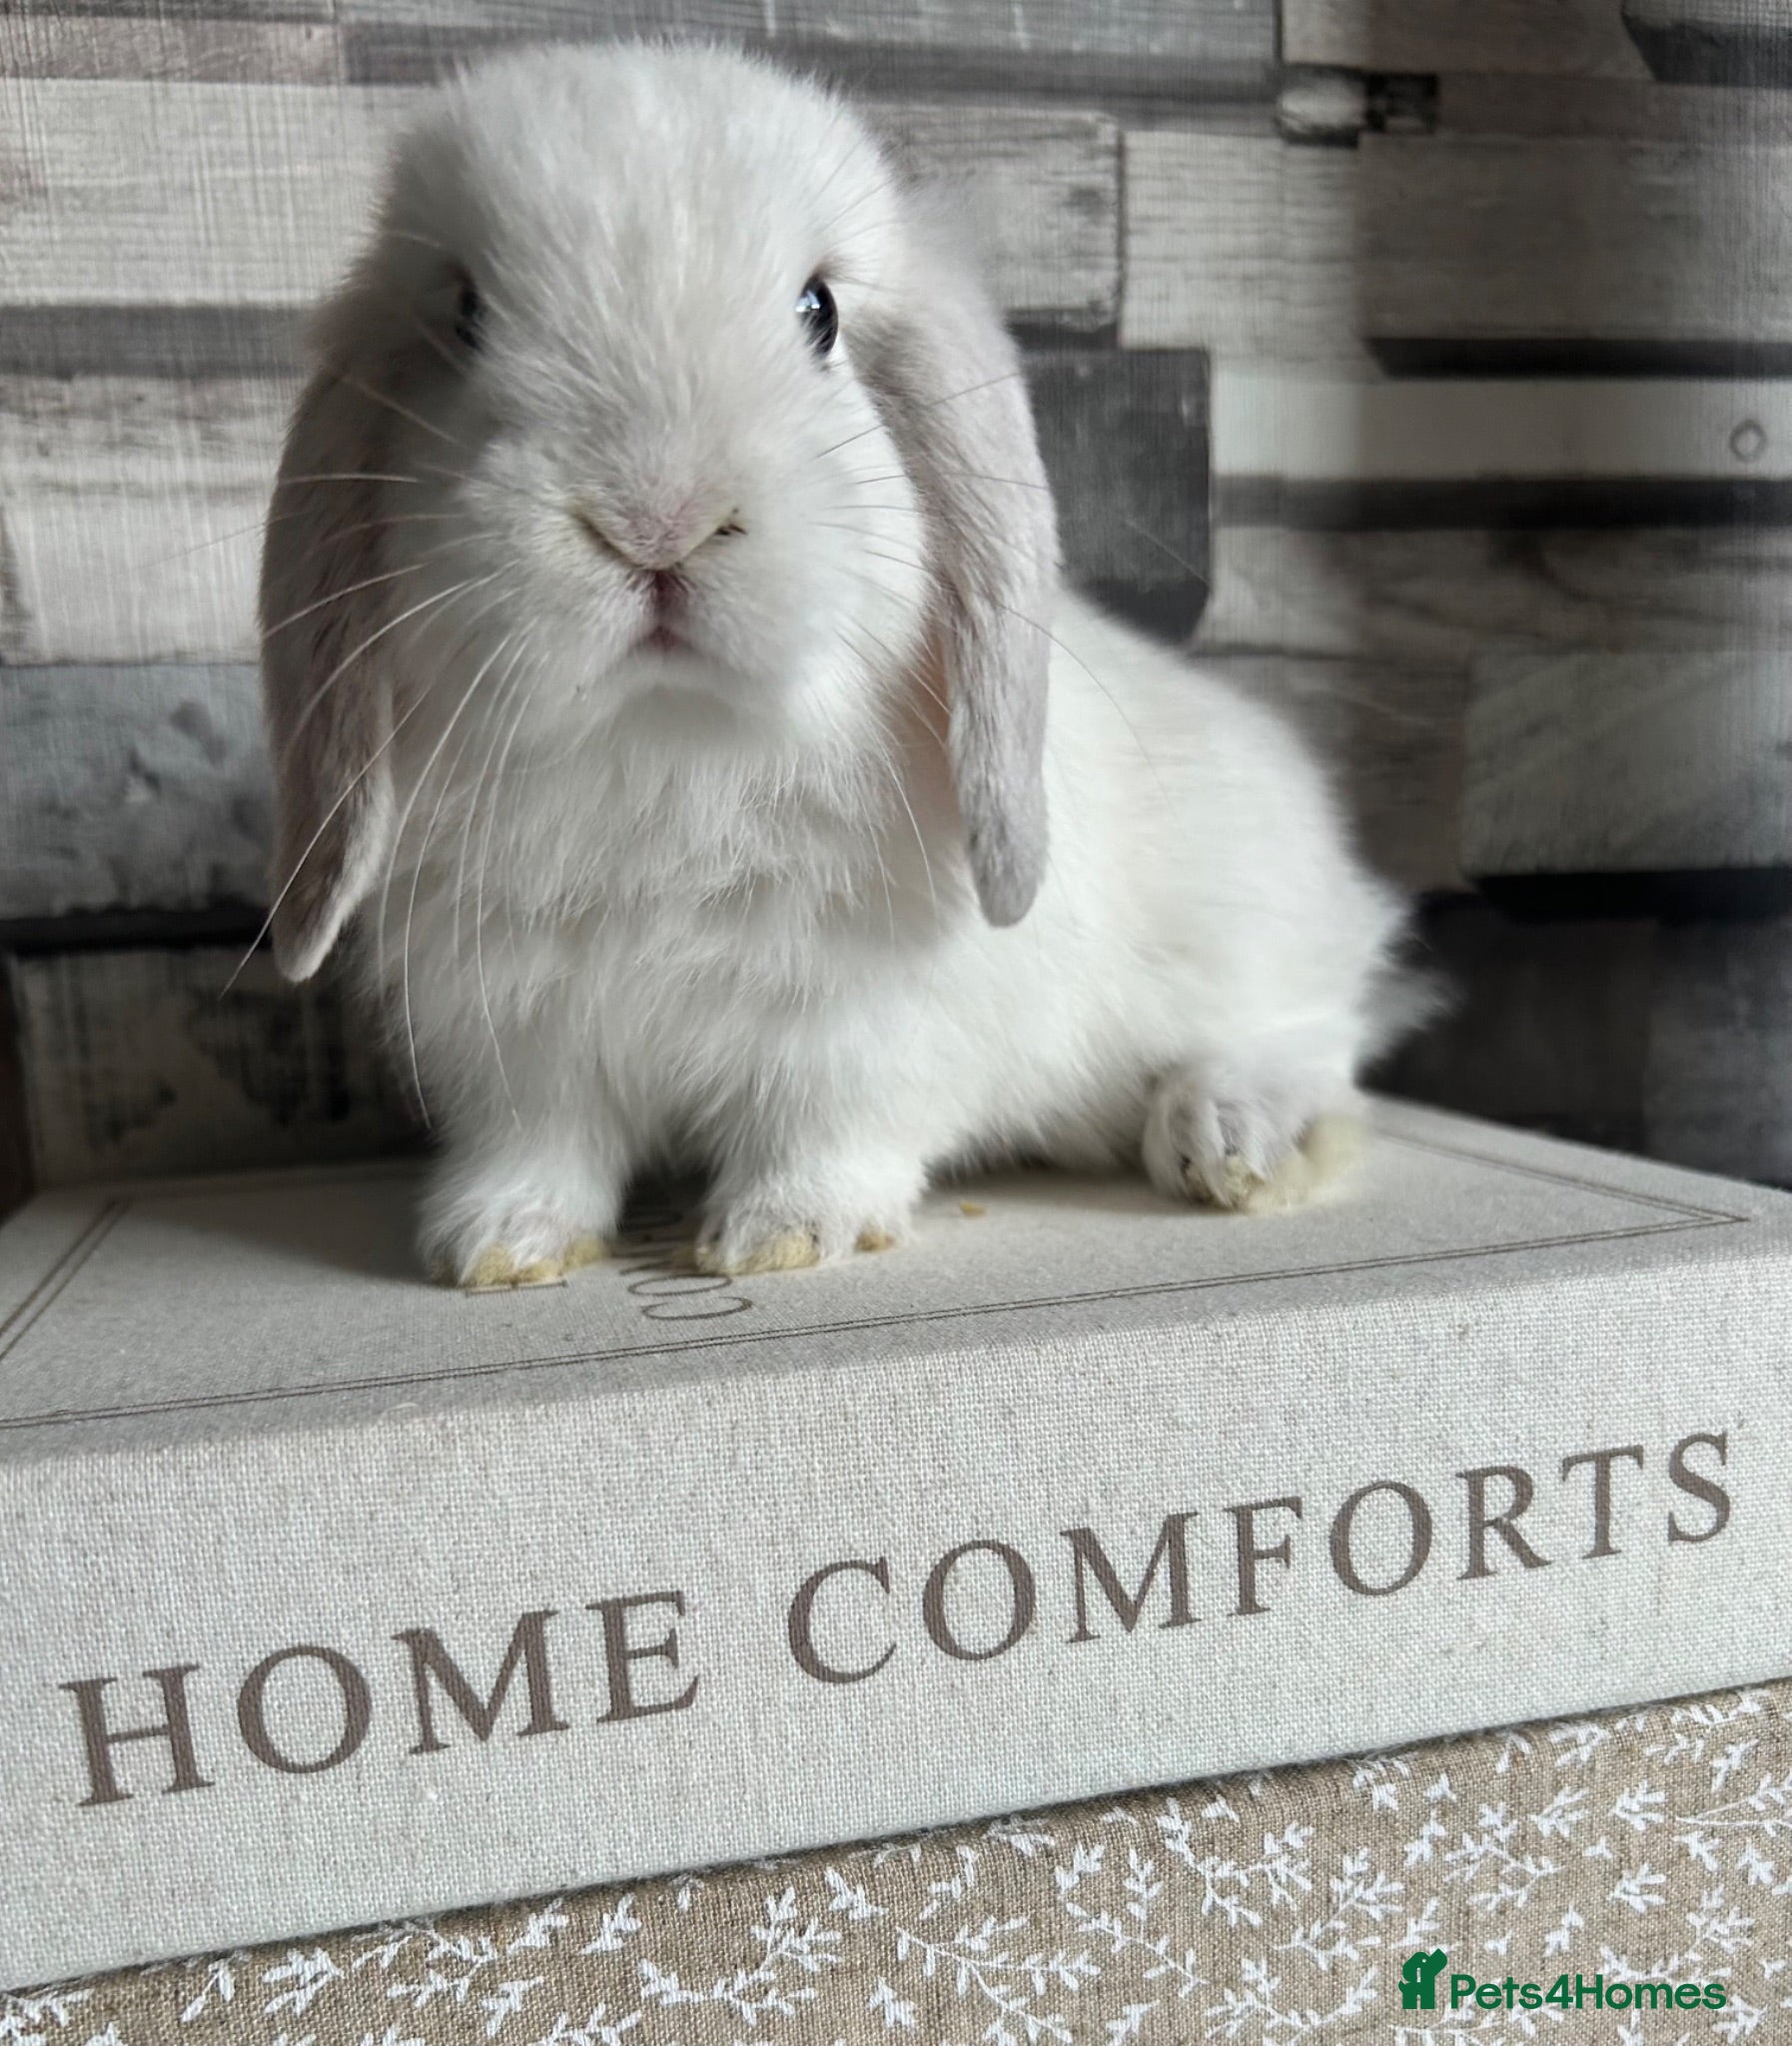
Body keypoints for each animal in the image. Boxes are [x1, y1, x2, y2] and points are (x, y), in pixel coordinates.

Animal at [259, 40, 1420, 1286]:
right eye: (466, 316)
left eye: (819, 313)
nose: (657, 519)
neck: (667, 740)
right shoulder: (520, 1035)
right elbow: (546, 1141)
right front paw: (496, 1242)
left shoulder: (864, 1026)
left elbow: (823, 1125)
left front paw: (780, 1233)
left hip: (1257, 928)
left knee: (1316, 1039)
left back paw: (1231, 1135)